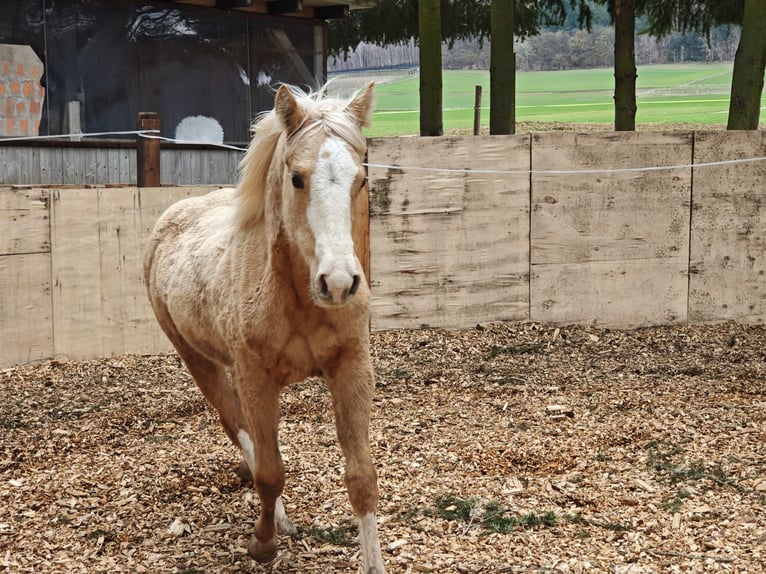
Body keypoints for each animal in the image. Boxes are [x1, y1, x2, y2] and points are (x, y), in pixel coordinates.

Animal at [143, 83, 385, 573]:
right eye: (297, 178)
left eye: (360, 179)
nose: (338, 282)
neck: (298, 299)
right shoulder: (256, 378)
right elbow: (271, 473)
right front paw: (263, 541)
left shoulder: (352, 367)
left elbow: (361, 477)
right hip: (198, 360)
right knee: (236, 426)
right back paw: (277, 516)